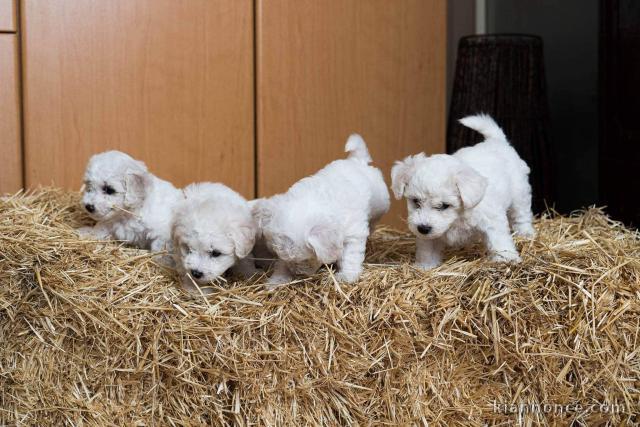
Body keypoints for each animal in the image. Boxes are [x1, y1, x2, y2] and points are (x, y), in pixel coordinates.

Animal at [252, 135, 388, 290]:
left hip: (381, 203)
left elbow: (350, 256)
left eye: (306, 259)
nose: (297, 273)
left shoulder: (353, 233)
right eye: (281, 257)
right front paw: (277, 279)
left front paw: (347, 276)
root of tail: (356, 160)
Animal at [390, 115, 536, 270]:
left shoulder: (491, 220)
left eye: (444, 205)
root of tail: (496, 141)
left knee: (521, 214)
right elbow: (427, 249)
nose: (423, 228)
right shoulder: (430, 236)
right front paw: (425, 266)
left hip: (520, 192)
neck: (457, 217)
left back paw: (526, 233)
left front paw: (506, 259)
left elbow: (498, 240)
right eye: (416, 201)